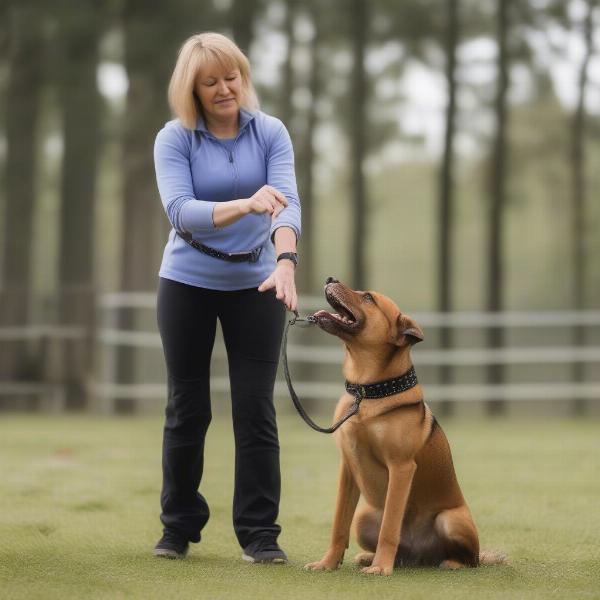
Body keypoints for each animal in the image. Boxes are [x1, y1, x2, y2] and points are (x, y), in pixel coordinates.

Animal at [304, 278, 502, 576]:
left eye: (368, 298)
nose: (330, 279)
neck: (367, 392)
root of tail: (420, 556)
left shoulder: (401, 467)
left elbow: (390, 525)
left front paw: (380, 568)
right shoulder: (347, 467)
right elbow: (339, 524)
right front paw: (327, 563)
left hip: (451, 520)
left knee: (471, 558)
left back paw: (445, 562)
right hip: (363, 518)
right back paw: (370, 557)